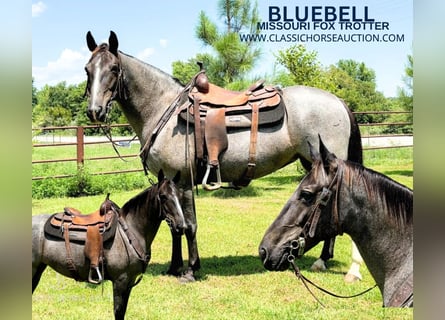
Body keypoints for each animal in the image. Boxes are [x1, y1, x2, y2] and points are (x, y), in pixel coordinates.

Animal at [32, 170, 183, 318]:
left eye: (180, 195)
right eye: (163, 196)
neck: (130, 230)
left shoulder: (129, 282)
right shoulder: (120, 281)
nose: (180, 226)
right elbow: (118, 312)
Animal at [84, 31, 364, 282]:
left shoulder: (183, 182)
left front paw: (190, 270)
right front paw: (174, 268)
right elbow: (174, 225)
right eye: (88, 70)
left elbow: (188, 225)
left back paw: (322, 260)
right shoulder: (170, 184)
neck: (163, 109)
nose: (94, 111)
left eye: (114, 68)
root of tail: (337, 101)